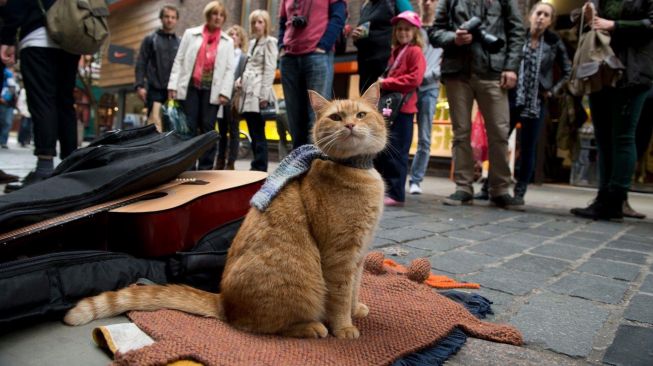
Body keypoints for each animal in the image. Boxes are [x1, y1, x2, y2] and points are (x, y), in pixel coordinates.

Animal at [62, 83, 388, 340]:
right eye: (336, 117)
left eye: (361, 114)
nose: (349, 125)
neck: (356, 170)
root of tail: (224, 301)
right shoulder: (340, 257)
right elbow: (339, 297)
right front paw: (343, 327)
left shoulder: (358, 257)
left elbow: (354, 290)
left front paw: (356, 310)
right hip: (302, 285)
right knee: (261, 325)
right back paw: (311, 327)